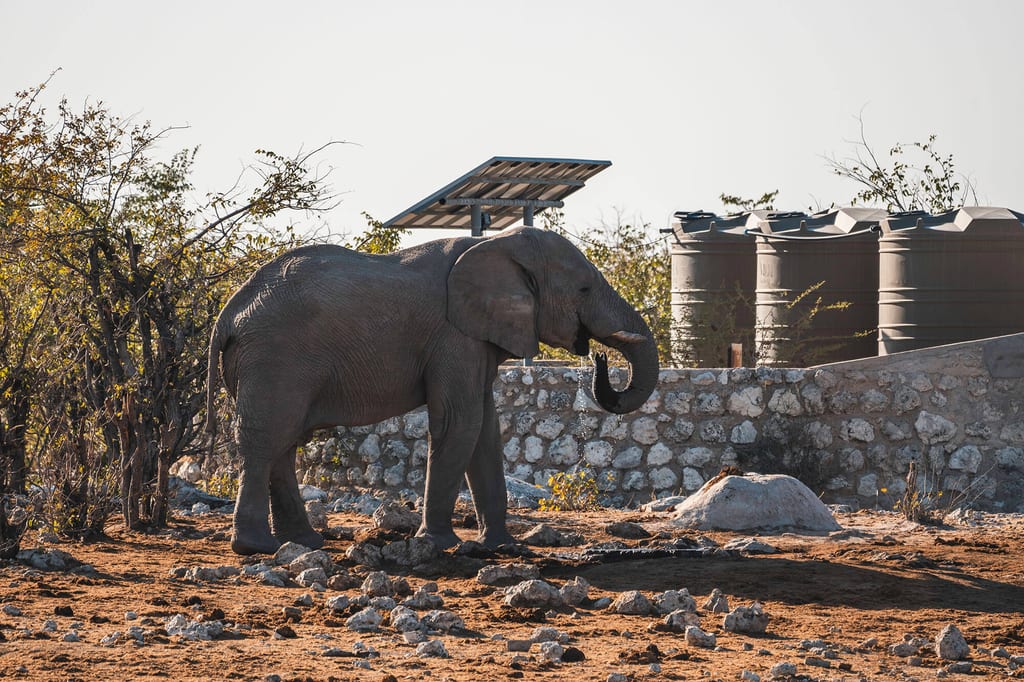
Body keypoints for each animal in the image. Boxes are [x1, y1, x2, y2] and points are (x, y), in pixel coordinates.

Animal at [205, 226, 660, 555]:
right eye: (583, 289)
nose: (599, 358)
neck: (498, 242)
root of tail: (228, 313)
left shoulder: (473, 338)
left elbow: (485, 429)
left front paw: (501, 548)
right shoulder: (453, 335)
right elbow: (461, 422)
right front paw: (441, 545)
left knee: (283, 443)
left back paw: (304, 542)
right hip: (274, 359)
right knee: (266, 439)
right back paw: (255, 547)